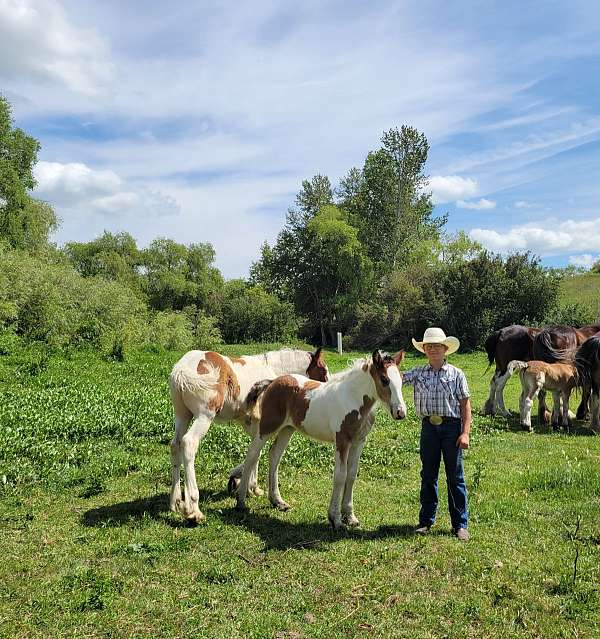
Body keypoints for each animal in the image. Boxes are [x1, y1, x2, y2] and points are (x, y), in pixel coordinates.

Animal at [169, 348, 328, 524]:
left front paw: (246, 485)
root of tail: (181, 370)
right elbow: (255, 453)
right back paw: (194, 510)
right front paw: (250, 487)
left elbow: (254, 454)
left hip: (182, 415)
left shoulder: (250, 422)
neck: (273, 370)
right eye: (323, 370)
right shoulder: (260, 422)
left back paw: (175, 501)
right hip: (204, 415)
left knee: (175, 445)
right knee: (189, 443)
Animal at [237, 350, 406, 528]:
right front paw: (335, 518)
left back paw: (277, 501)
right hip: (268, 426)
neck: (353, 398)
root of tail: (272, 382)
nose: (400, 412)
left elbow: (352, 475)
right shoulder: (342, 441)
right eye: (384, 379)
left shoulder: (359, 441)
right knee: (253, 454)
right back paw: (241, 501)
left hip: (287, 429)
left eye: (401, 378)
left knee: (275, 455)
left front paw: (350, 516)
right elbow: (340, 475)